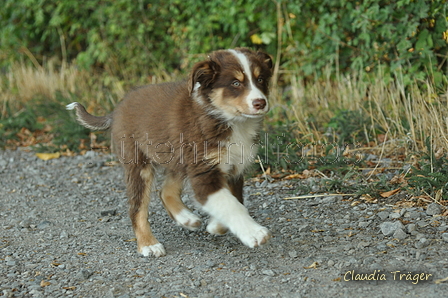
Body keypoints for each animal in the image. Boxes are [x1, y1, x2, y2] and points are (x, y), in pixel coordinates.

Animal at [65, 48, 272, 256]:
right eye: (235, 83)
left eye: (261, 79)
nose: (261, 103)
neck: (230, 121)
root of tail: (116, 110)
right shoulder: (204, 171)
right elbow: (231, 205)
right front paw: (254, 233)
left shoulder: (235, 167)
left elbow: (235, 199)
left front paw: (217, 225)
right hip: (139, 165)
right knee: (137, 208)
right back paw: (148, 244)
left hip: (177, 157)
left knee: (165, 191)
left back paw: (186, 218)